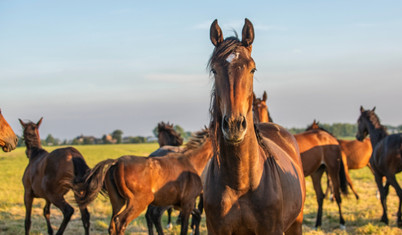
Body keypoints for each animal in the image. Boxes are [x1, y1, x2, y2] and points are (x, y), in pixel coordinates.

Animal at [76, 129, 214, 235]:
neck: (192, 161)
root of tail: (117, 163)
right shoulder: (187, 204)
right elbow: (184, 228)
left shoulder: (179, 204)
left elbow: (197, 215)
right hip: (139, 202)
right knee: (121, 222)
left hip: (118, 202)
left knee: (112, 225)